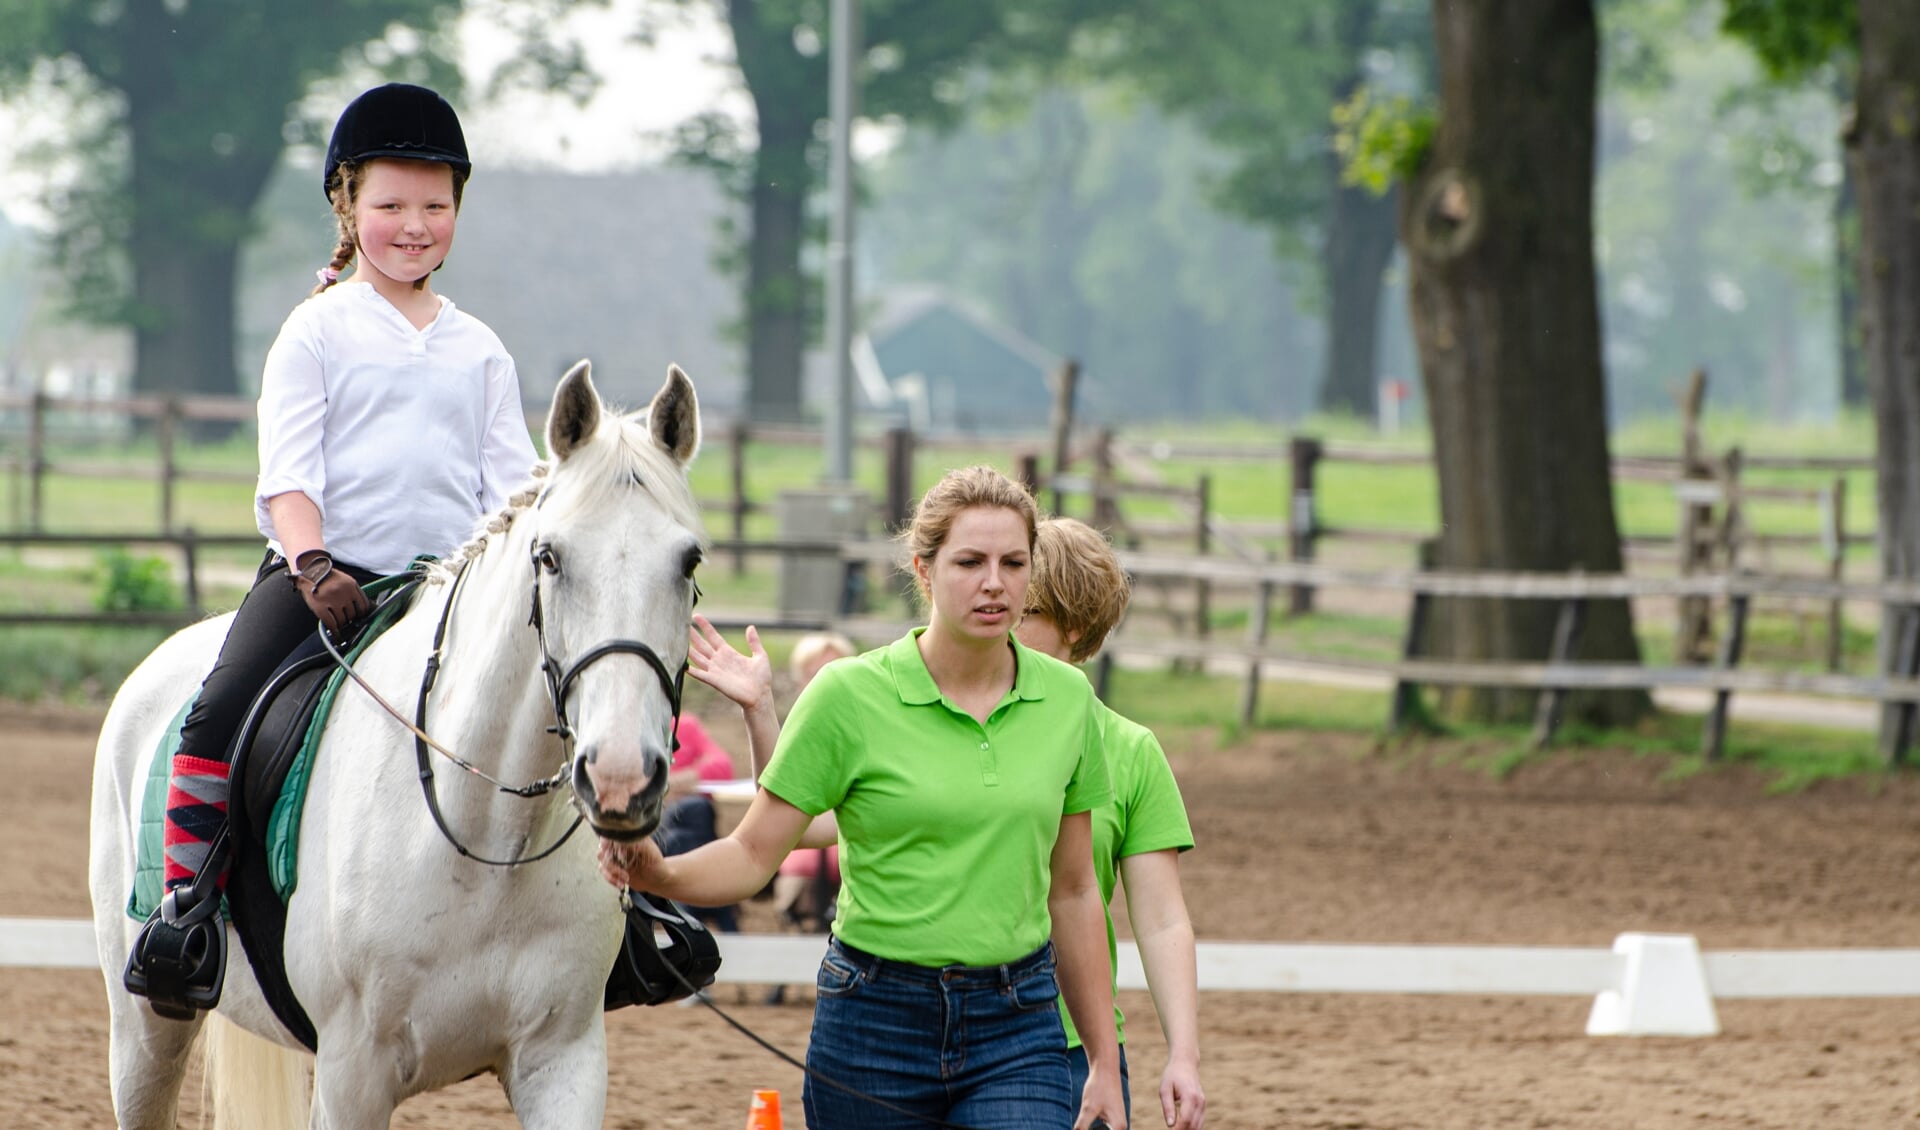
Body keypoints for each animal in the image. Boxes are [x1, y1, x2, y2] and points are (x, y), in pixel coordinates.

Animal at [88, 362, 706, 1128]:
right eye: (550, 557)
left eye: (689, 561)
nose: (621, 778)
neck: (484, 840)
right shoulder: (353, 1074)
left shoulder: (563, 1061)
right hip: (145, 1031)